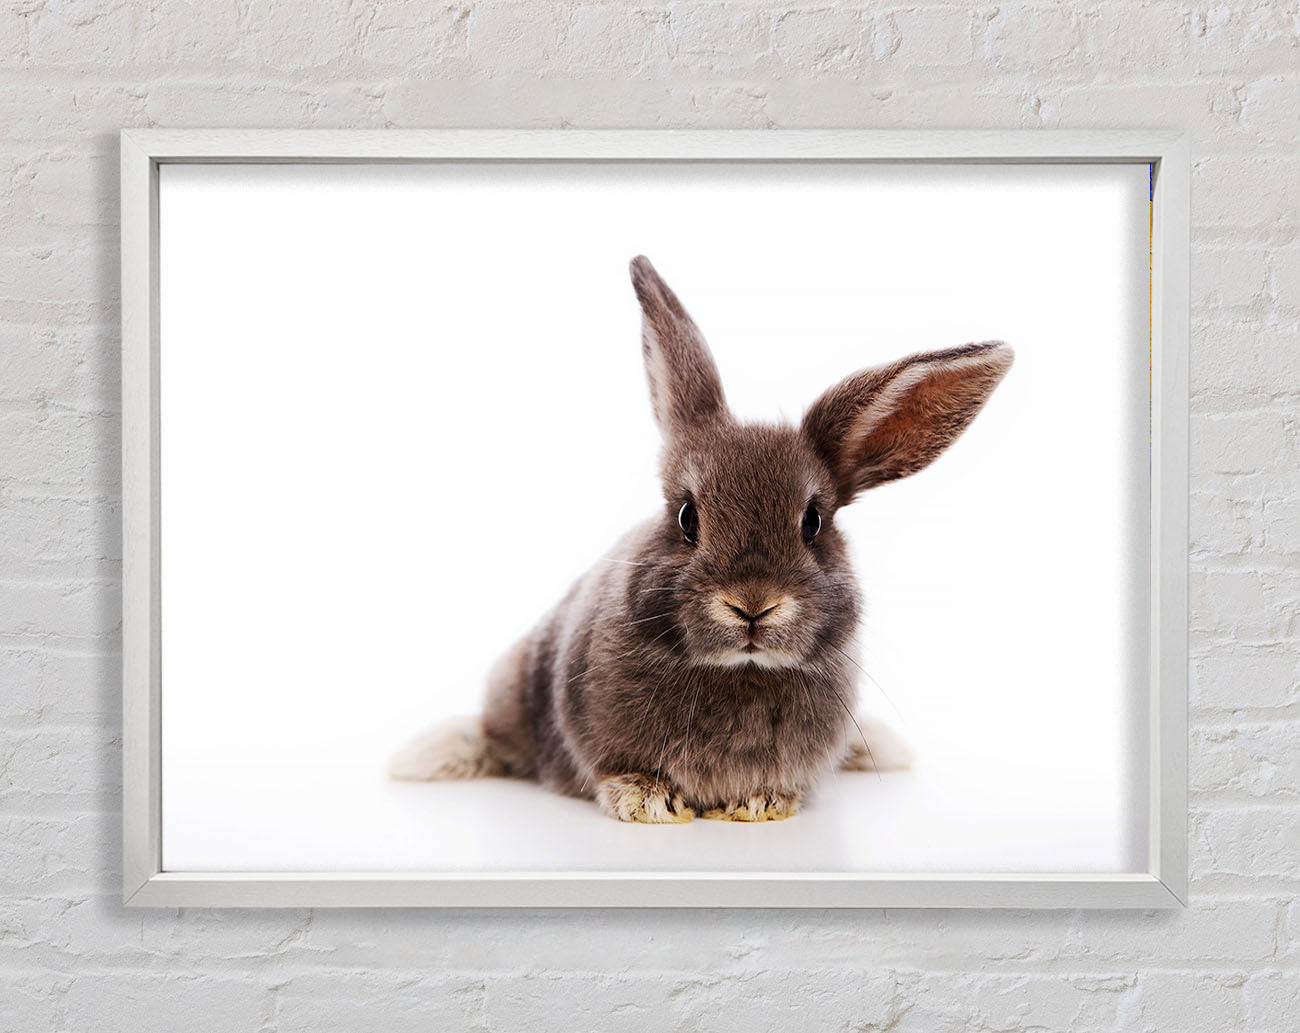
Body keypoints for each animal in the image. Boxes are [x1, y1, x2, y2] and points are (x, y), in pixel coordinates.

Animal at [390, 256, 1013, 823]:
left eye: (813, 522)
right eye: (688, 517)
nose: (753, 604)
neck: (740, 669)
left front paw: (762, 803)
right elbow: (616, 772)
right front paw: (646, 800)